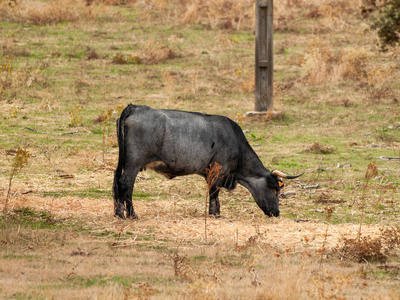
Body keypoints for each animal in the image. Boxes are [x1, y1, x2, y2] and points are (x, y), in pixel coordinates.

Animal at [111, 105, 300, 218]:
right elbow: (214, 192)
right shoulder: (218, 170)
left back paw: (118, 213)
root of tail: (136, 108)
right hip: (134, 163)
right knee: (126, 183)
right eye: (275, 189)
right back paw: (130, 215)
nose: (277, 213)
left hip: (125, 162)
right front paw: (214, 214)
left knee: (117, 182)